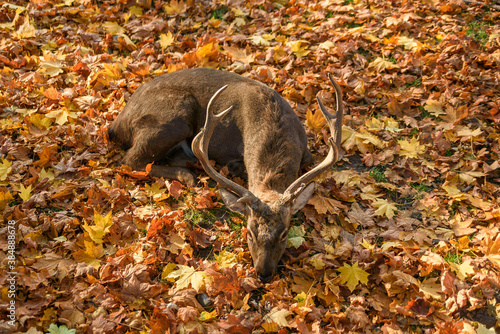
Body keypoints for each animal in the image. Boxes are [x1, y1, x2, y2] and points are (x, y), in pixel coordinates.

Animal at [108, 68, 344, 282]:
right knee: (131, 160)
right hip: (173, 117)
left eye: (285, 232)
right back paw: (188, 175)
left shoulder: (306, 153)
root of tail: (116, 125)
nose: (263, 274)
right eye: (249, 232)